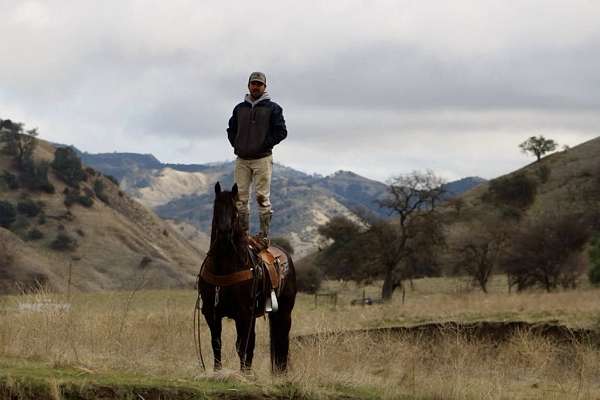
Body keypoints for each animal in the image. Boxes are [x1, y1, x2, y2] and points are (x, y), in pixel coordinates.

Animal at [197, 183, 298, 374]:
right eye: (216, 208)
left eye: (235, 210)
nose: (224, 233)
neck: (224, 269)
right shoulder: (211, 313)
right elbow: (216, 343)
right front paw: (217, 371)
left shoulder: (244, 313)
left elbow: (243, 345)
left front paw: (245, 373)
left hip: (284, 311)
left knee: (282, 339)